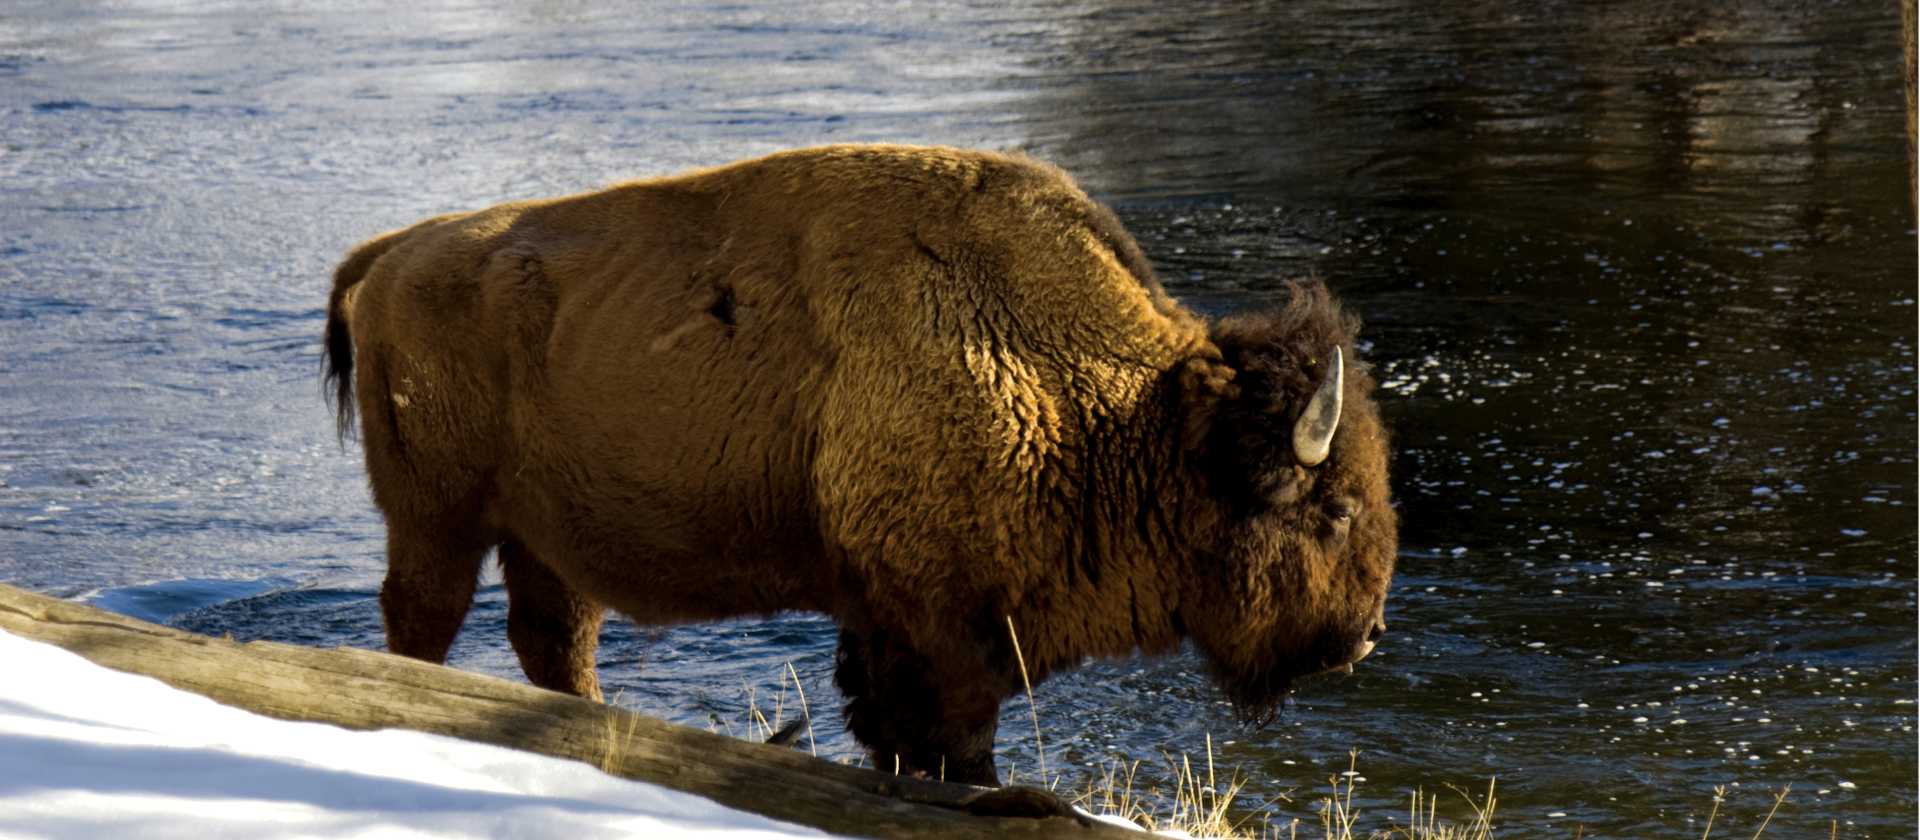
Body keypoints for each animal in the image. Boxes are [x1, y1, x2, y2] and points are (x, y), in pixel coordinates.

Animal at [323, 144, 1396, 786]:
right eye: (1335, 510)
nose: (1364, 638)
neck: (1124, 412)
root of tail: (388, 255)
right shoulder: (943, 627)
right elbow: (950, 739)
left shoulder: (895, 619)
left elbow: (902, 733)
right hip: (438, 519)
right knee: (424, 618)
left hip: (545, 534)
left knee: (552, 637)